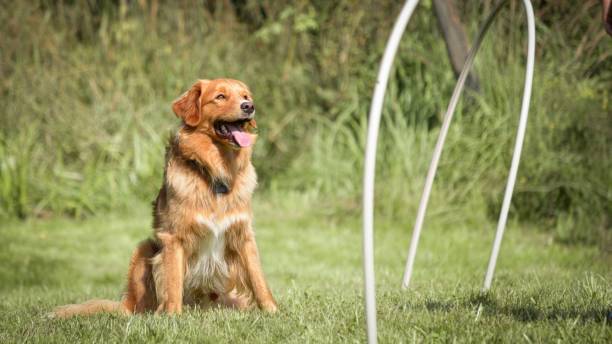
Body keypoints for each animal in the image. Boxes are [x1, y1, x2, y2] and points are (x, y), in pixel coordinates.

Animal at [53, 78, 278, 318]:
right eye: (220, 97)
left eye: (245, 96)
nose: (249, 107)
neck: (215, 172)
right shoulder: (173, 237)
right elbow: (173, 282)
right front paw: (173, 316)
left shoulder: (244, 235)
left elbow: (258, 279)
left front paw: (273, 311)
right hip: (144, 249)